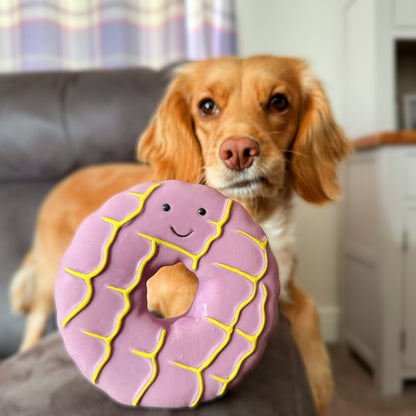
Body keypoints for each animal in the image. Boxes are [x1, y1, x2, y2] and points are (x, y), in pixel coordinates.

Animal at [9, 56, 352, 416]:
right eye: (207, 106)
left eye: (279, 101)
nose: (239, 151)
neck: (254, 212)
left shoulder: (288, 284)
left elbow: (311, 317)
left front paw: (319, 385)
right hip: (49, 281)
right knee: (34, 322)